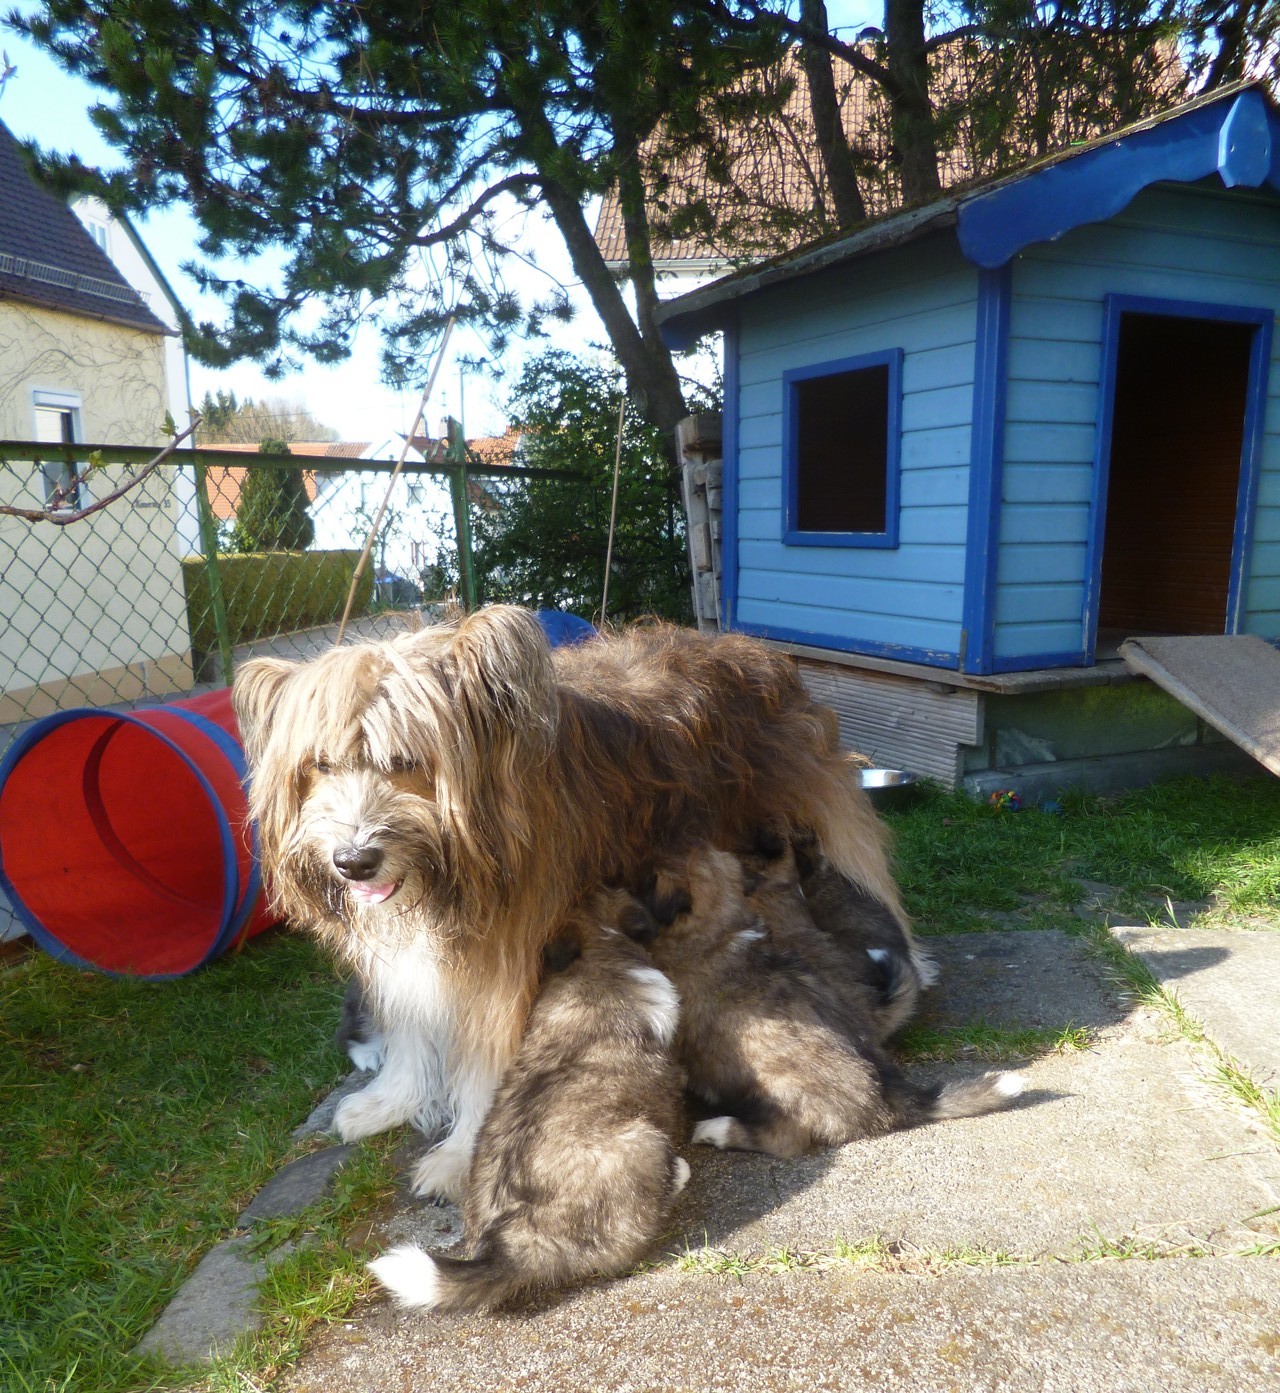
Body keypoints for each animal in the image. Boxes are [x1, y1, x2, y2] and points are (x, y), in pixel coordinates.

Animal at [235, 604, 919, 1203]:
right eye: (320, 765)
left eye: (404, 761)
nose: (353, 861)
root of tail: (745, 647)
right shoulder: (411, 954)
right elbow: (410, 1027)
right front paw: (392, 1100)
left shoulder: (507, 961)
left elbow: (489, 1065)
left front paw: (460, 1156)